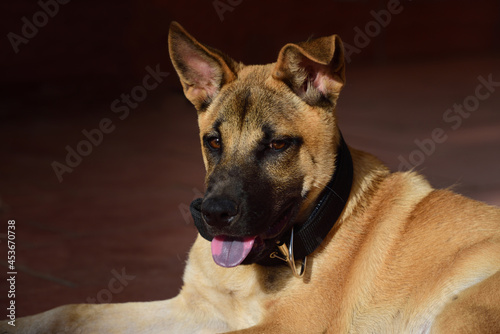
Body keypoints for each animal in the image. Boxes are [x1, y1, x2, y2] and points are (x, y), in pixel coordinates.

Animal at [3, 21, 500, 334]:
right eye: (212, 141)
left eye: (278, 145)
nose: (214, 215)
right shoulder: (196, 308)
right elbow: (71, 311)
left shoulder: (287, 328)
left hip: (463, 312)